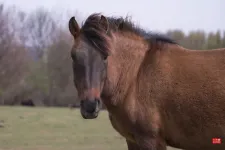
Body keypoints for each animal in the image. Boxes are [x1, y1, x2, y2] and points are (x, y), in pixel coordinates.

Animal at [67, 13, 225, 149]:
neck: (136, 75)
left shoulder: (151, 140)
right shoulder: (133, 141)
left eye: (105, 56)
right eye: (73, 56)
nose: (90, 106)